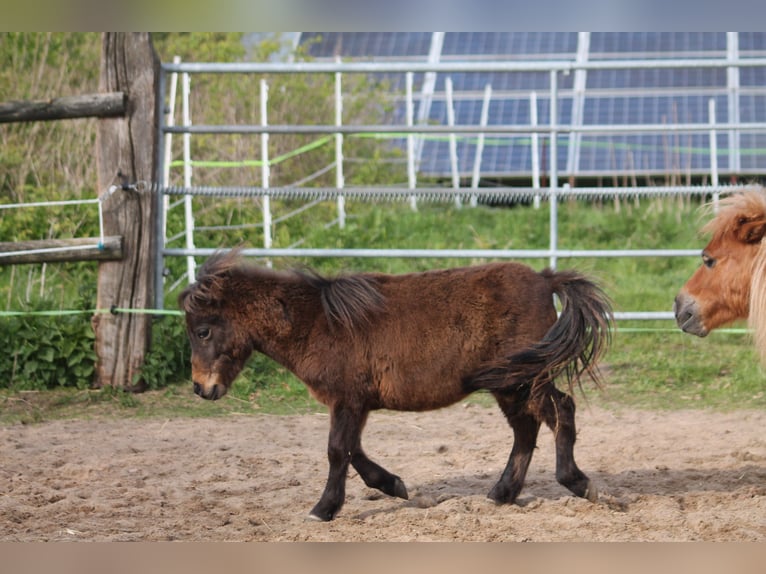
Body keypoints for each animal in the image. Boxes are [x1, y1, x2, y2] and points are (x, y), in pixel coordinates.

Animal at [180, 252, 612, 520]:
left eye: (203, 331)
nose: (202, 388)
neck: (319, 323)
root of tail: (545, 280)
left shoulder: (347, 400)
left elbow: (337, 451)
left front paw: (323, 510)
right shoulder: (355, 403)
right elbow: (353, 451)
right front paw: (394, 486)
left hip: (523, 379)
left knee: (560, 412)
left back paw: (578, 483)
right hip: (510, 386)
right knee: (527, 430)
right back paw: (501, 495)